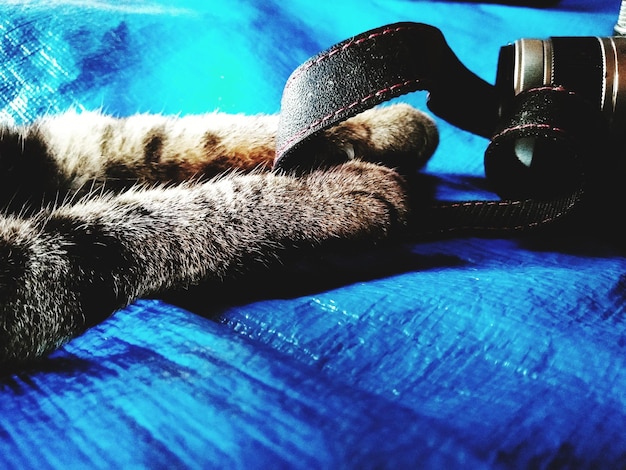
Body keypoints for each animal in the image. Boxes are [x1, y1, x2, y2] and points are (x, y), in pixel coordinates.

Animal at [0, 104, 436, 366]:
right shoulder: (29, 273)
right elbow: (178, 212)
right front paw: (324, 197)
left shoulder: (48, 151)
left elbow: (166, 138)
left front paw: (374, 124)